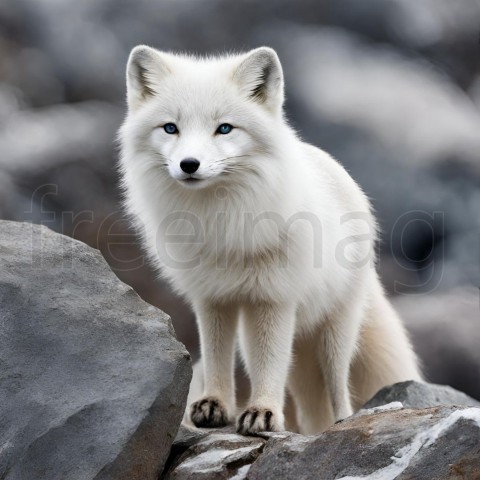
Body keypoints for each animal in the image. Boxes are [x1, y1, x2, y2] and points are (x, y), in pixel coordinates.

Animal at [118, 45, 422, 436]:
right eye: (171, 127)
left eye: (224, 128)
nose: (189, 164)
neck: (221, 223)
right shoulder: (213, 297)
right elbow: (216, 356)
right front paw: (214, 405)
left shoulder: (274, 298)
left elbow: (271, 364)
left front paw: (262, 412)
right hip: (260, 339)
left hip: (334, 332)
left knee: (337, 391)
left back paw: (338, 422)